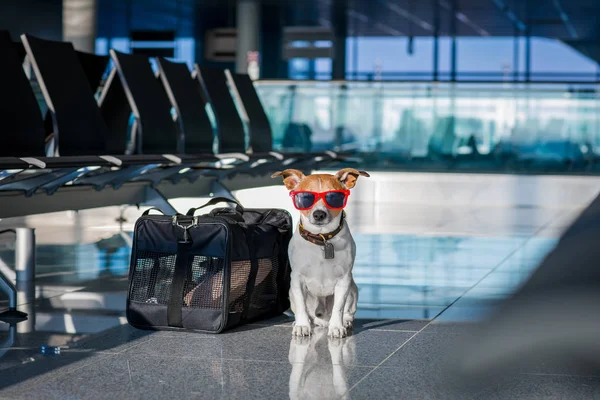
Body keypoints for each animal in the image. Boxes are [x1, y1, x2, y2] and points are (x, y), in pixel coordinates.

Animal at [274, 166, 368, 338]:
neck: (322, 239)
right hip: (291, 292)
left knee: (347, 312)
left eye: (333, 197)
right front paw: (302, 325)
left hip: (352, 289)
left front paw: (337, 327)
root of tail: (323, 320)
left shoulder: (344, 280)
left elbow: (339, 307)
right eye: (305, 197)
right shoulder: (297, 280)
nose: (319, 214)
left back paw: (345, 322)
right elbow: (301, 306)